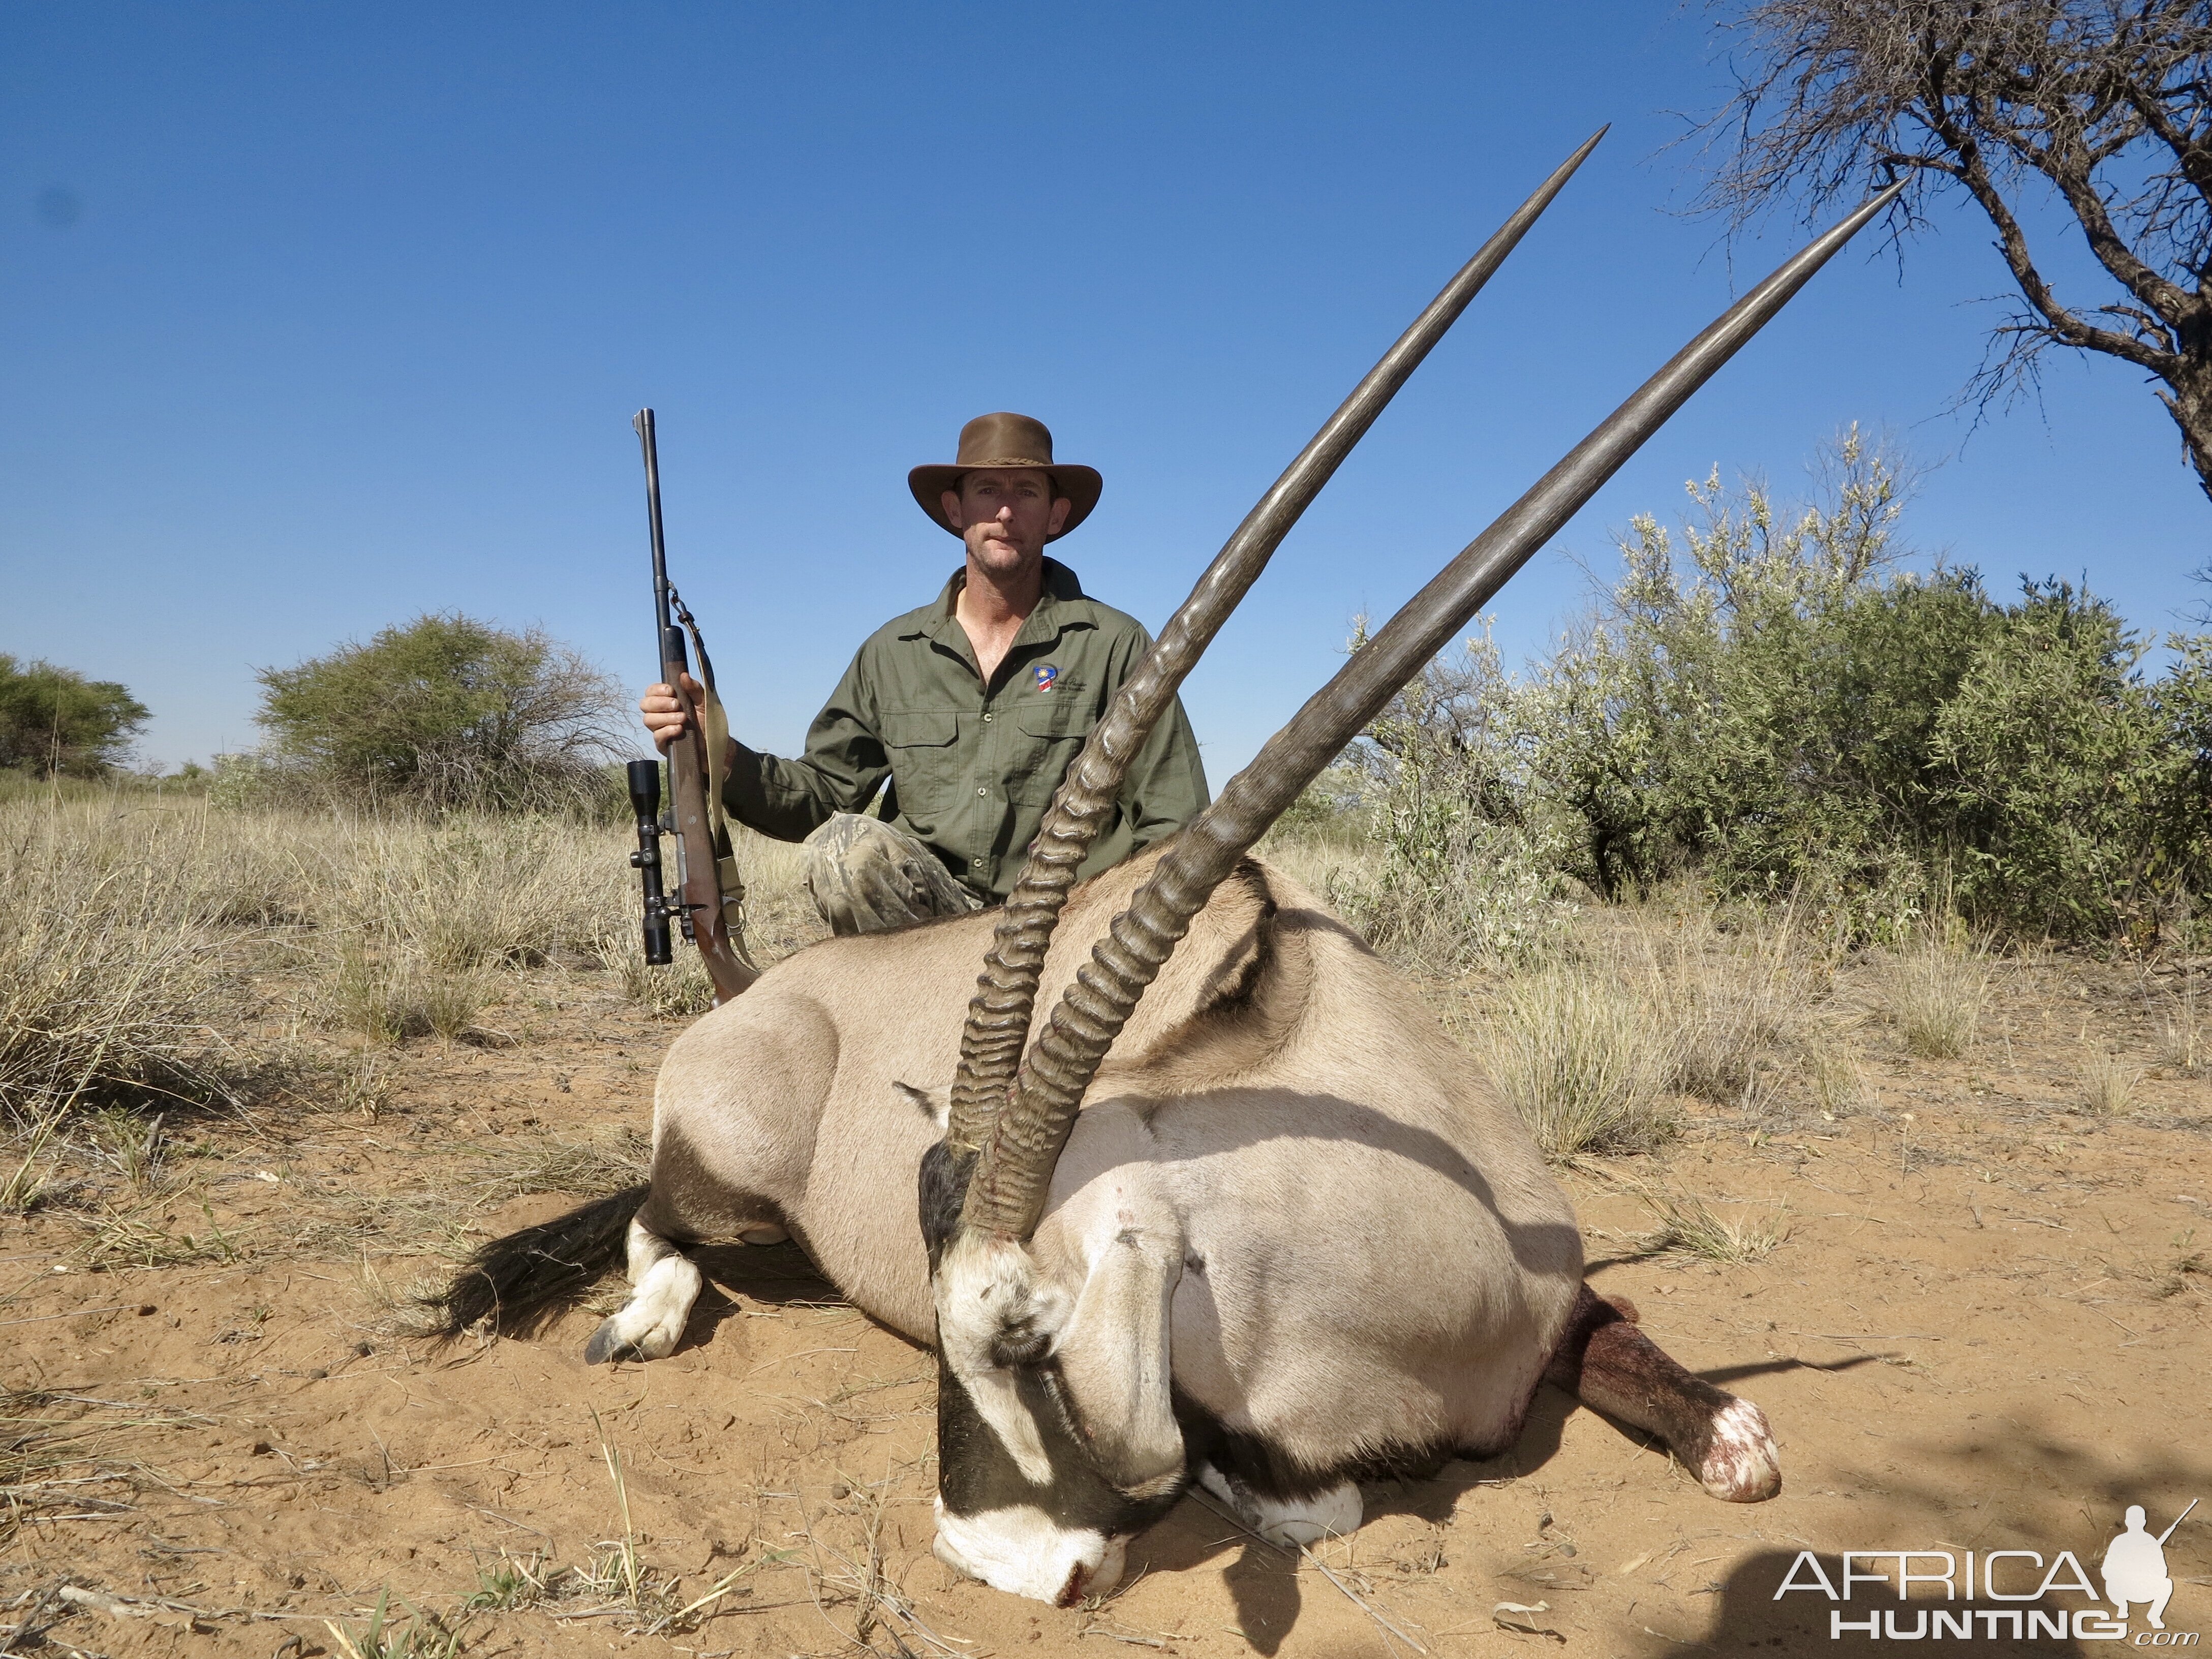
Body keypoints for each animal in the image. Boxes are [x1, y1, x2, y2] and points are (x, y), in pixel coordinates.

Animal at [436, 142, 1902, 1610]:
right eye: (950, 1314)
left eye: (1031, 1334)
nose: (994, 1560)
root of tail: (757, 997)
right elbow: (1296, 1495)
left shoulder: (1556, 1302)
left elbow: (1698, 1417)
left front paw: (1726, 1432)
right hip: (721, 1176)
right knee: (659, 1225)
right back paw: (638, 1321)